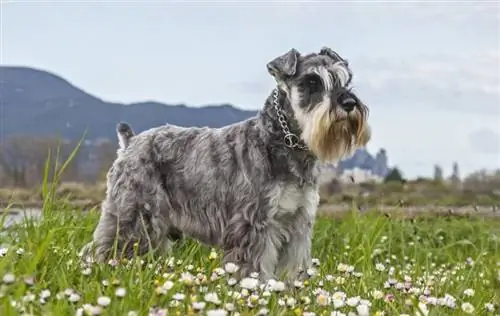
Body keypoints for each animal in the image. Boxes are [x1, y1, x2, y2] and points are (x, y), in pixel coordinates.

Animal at [81, 46, 372, 278]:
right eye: (312, 81)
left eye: (346, 80)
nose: (349, 103)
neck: (283, 142)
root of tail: (130, 142)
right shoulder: (254, 225)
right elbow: (255, 269)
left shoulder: (297, 225)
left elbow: (291, 271)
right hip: (132, 216)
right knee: (102, 248)